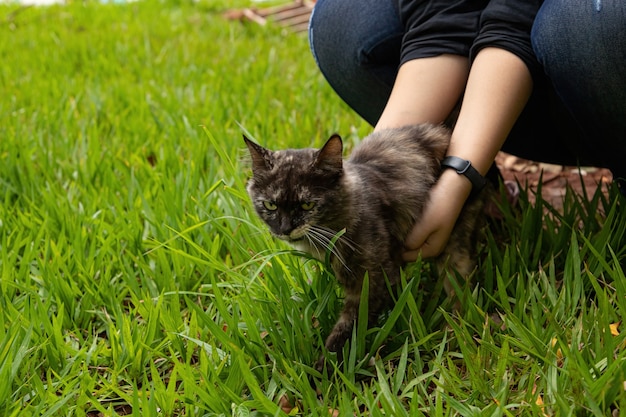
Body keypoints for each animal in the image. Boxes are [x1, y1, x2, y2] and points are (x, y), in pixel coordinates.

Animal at [244, 123, 488, 370]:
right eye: (270, 205)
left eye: (307, 205)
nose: (285, 228)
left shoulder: (371, 284)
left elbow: (346, 333)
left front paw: (324, 373)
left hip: (455, 254)